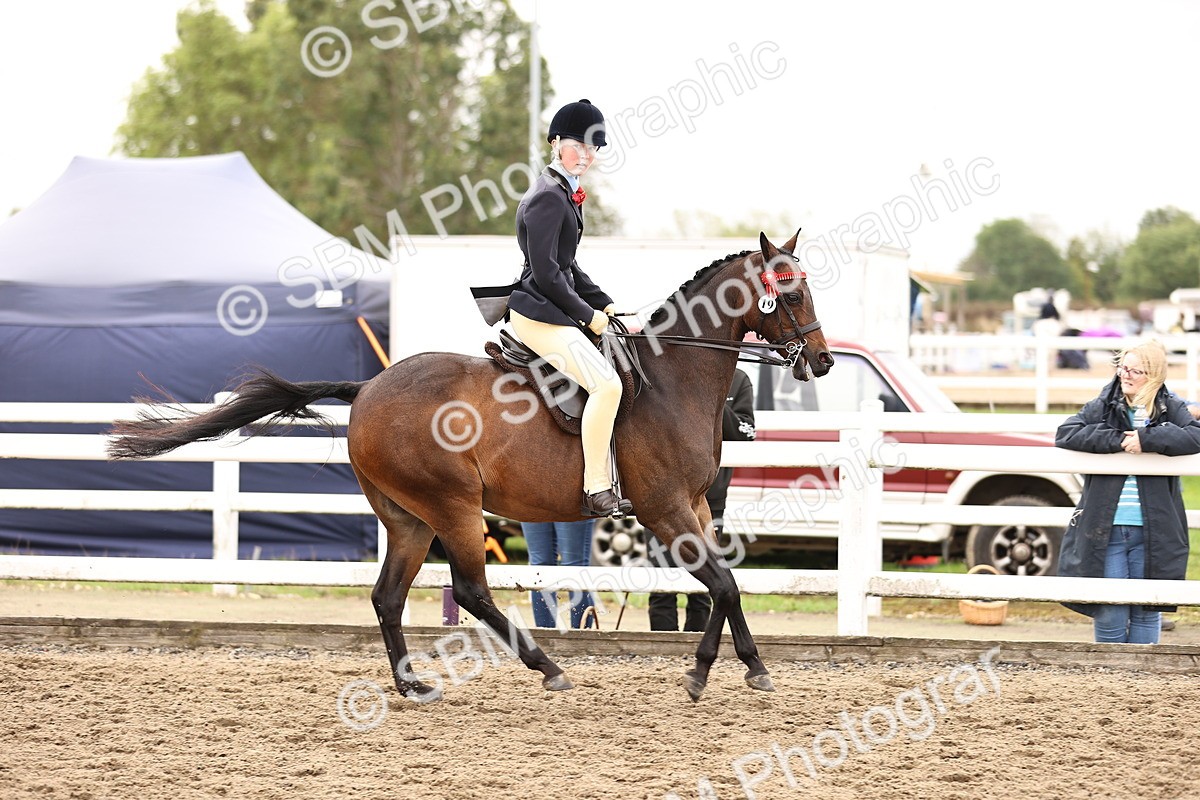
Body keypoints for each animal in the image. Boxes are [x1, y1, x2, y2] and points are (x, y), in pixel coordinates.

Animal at [108, 230, 833, 702]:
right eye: (790, 293)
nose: (822, 362)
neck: (671, 380)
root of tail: (368, 387)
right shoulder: (665, 510)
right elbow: (725, 584)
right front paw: (714, 672)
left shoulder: (699, 508)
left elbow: (725, 586)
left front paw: (740, 666)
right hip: (451, 505)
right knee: (473, 590)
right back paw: (546, 668)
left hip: (408, 518)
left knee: (388, 596)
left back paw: (412, 685)